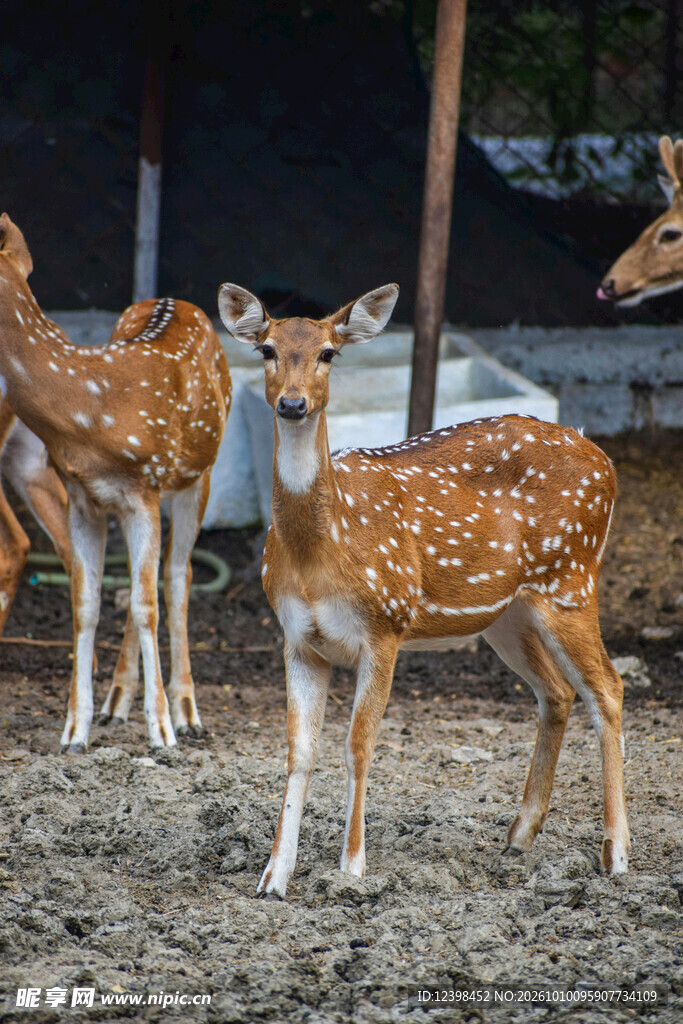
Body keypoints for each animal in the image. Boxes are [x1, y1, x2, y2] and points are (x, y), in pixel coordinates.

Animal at [0, 213, 232, 752]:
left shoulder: (143, 490)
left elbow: (149, 604)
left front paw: (162, 731)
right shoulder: (84, 498)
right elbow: (86, 603)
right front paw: (74, 731)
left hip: (199, 475)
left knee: (178, 574)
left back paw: (188, 711)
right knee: (142, 580)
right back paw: (117, 700)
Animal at [218, 281, 630, 899]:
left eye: (328, 353)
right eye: (265, 349)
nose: (292, 404)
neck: (320, 554)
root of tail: (604, 459)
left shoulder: (384, 624)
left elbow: (359, 744)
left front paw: (352, 869)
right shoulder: (297, 638)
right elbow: (299, 749)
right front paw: (273, 877)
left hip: (571, 577)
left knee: (607, 688)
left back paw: (616, 855)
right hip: (507, 612)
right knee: (556, 692)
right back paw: (518, 837)